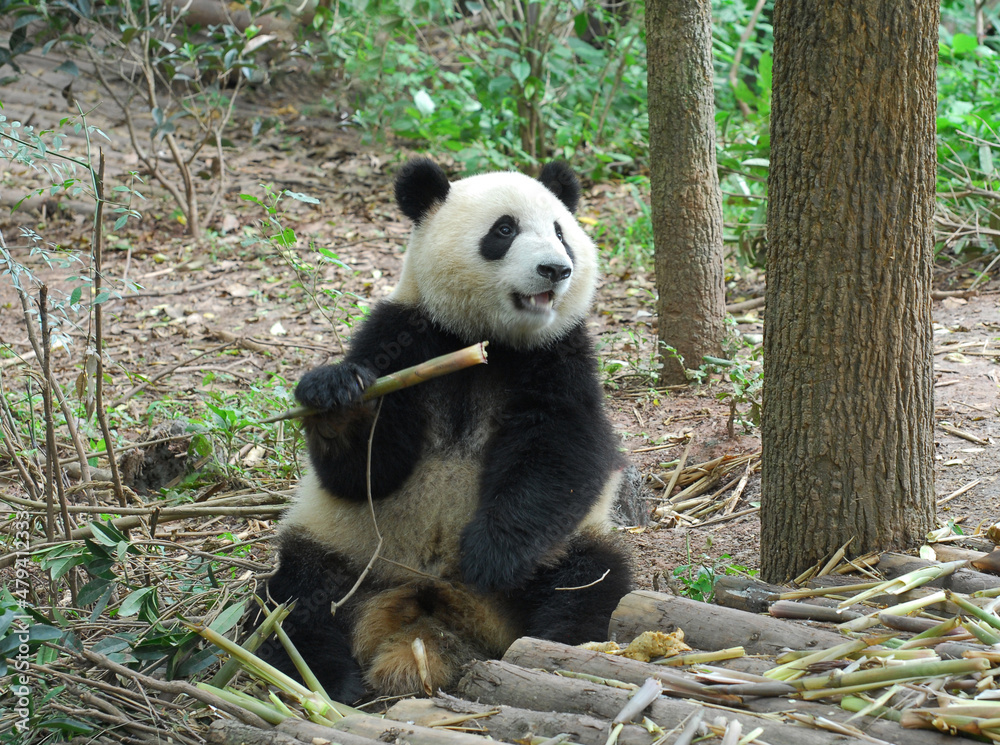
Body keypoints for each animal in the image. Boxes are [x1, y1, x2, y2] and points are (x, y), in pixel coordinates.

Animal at [259, 158, 633, 702]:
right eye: (504, 230)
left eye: (561, 233)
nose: (556, 269)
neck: (483, 341)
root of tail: (430, 603)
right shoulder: (402, 336)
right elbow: (366, 473)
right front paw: (335, 398)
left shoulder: (561, 354)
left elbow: (563, 450)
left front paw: (490, 557)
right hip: (344, 550)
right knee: (295, 599)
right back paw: (328, 679)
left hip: (564, 548)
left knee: (590, 586)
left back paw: (556, 649)